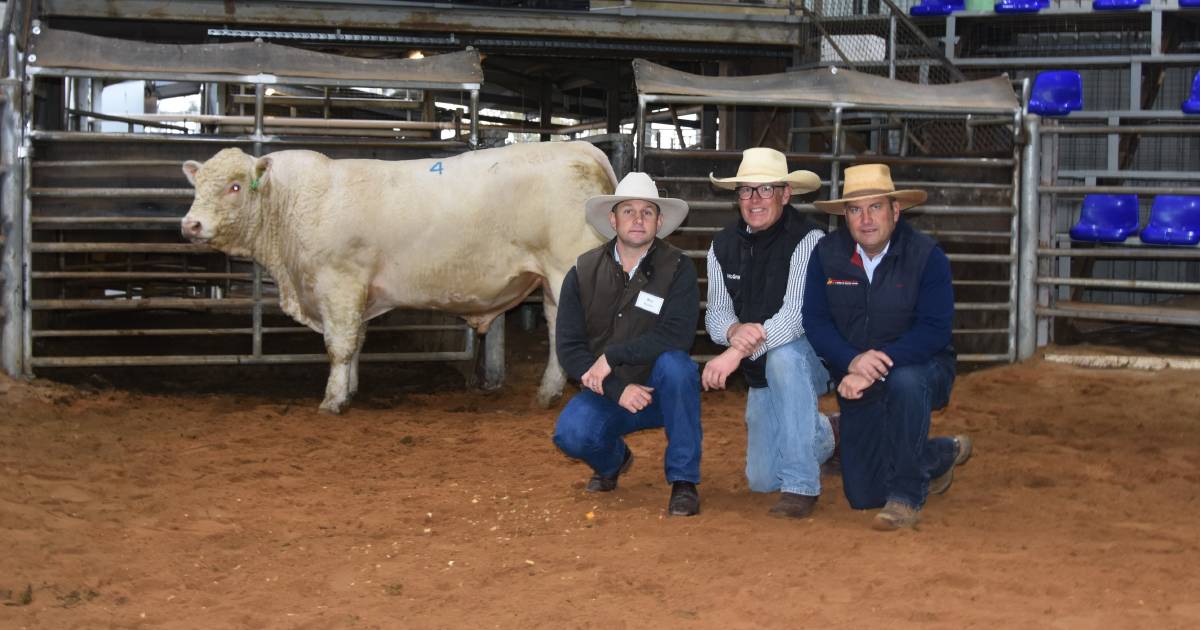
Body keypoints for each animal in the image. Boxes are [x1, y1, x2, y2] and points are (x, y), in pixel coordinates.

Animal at [182, 142, 614, 412]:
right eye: (197, 185)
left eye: (235, 186)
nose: (190, 225)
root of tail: (582, 148)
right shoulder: (357, 292)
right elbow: (356, 341)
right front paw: (350, 390)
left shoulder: (339, 282)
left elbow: (338, 346)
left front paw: (332, 400)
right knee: (557, 327)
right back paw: (547, 393)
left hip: (564, 267)